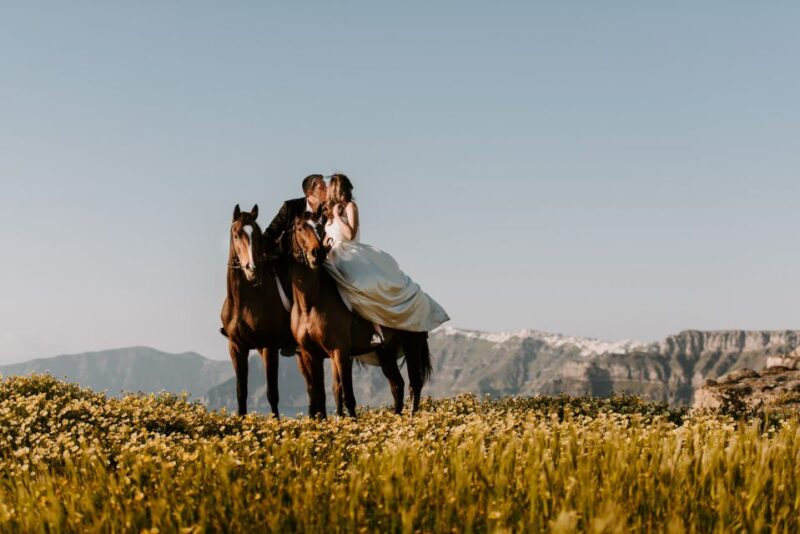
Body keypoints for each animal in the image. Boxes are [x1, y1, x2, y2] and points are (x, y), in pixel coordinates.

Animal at [219, 204, 295, 417]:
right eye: (236, 234)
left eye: (258, 236)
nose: (251, 268)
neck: (243, 302)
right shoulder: (237, 347)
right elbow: (241, 393)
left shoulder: (269, 347)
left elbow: (272, 394)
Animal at [289, 215, 432, 418]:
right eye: (300, 228)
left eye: (320, 228)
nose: (317, 254)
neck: (310, 304)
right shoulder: (311, 355)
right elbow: (320, 394)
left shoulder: (340, 352)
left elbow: (347, 394)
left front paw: (351, 423)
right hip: (386, 353)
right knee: (397, 385)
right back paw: (397, 419)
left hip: (412, 345)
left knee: (415, 384)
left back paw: (411, 419)